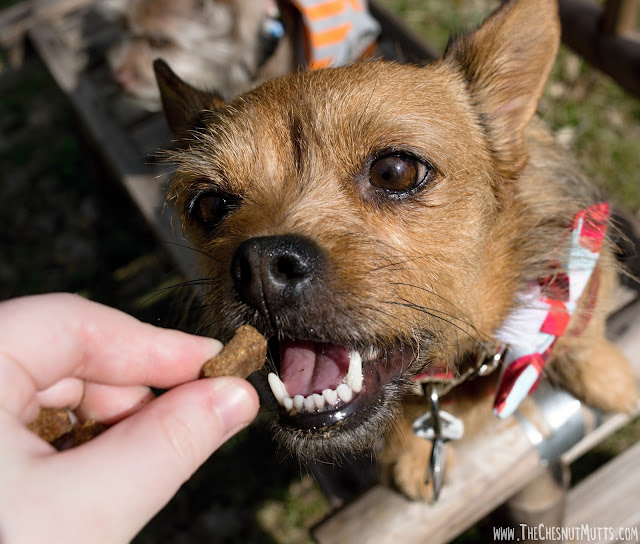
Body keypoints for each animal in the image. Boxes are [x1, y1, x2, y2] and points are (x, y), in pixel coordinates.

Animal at [154, 0, 636, 500]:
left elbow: (582, 325)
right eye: (210, 204)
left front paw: (609, 379)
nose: (260, 265)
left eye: (395, 172)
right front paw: (413, 456)